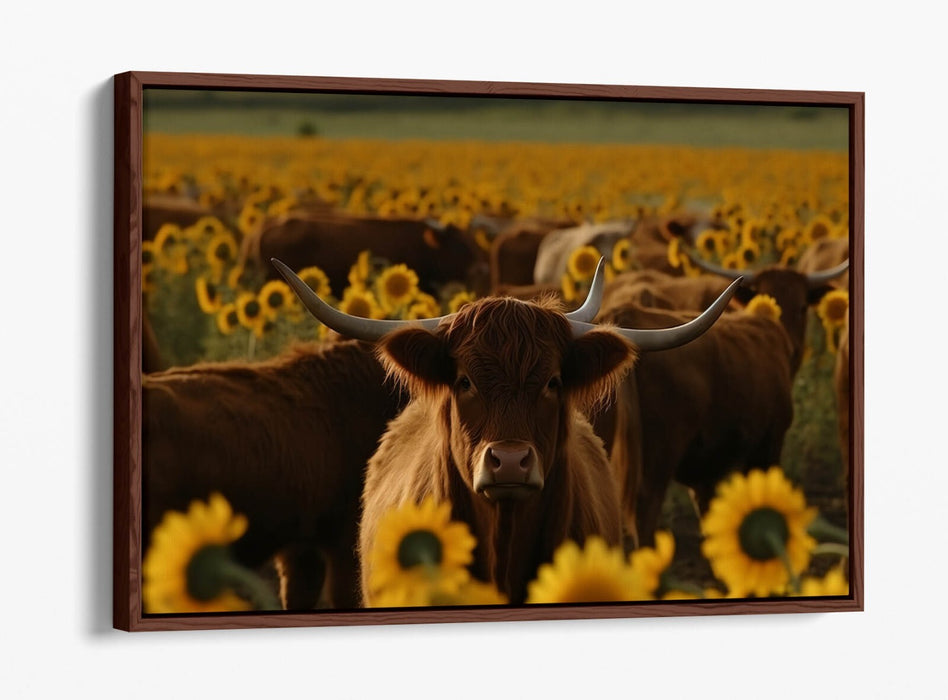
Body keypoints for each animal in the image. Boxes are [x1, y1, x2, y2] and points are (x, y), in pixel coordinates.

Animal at [597, 255, 850, 548]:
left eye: (801, 306)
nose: (795, 347)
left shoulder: (706, 474)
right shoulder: (768, 446)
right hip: (655, 462)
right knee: (644, 517)